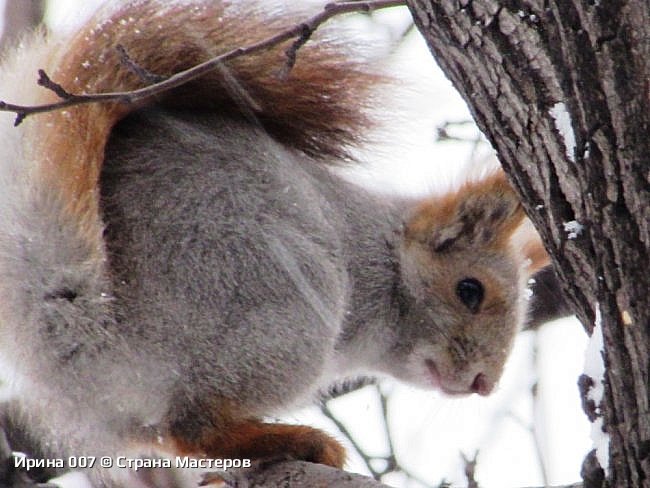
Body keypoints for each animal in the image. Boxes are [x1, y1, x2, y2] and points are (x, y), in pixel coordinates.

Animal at [0, 0, 548, 484]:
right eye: (469, 290)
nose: (483, 383)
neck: (384, 257)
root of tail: (88, 317)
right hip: (284, 311)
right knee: (194, 427)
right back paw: (295, 440)